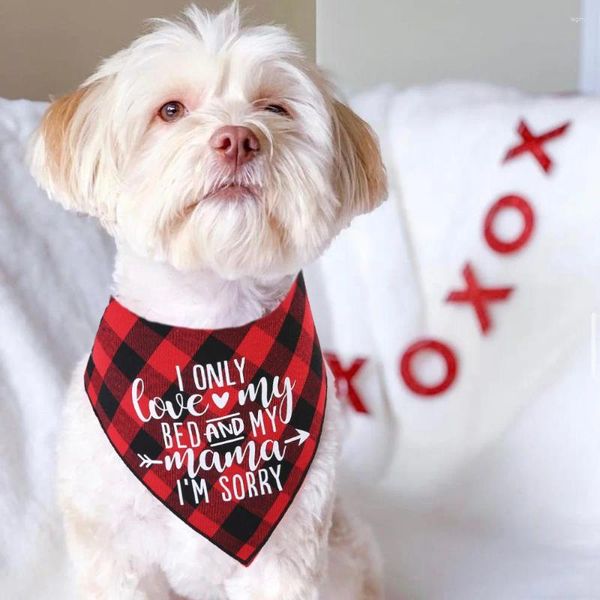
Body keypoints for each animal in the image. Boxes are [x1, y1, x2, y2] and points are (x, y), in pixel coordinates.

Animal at [28, 4, 386, 600]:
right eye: (170, 110)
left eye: (274, 108)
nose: (238, 139)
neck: (209, 338)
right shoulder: (112, 551)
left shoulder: (287, 555)